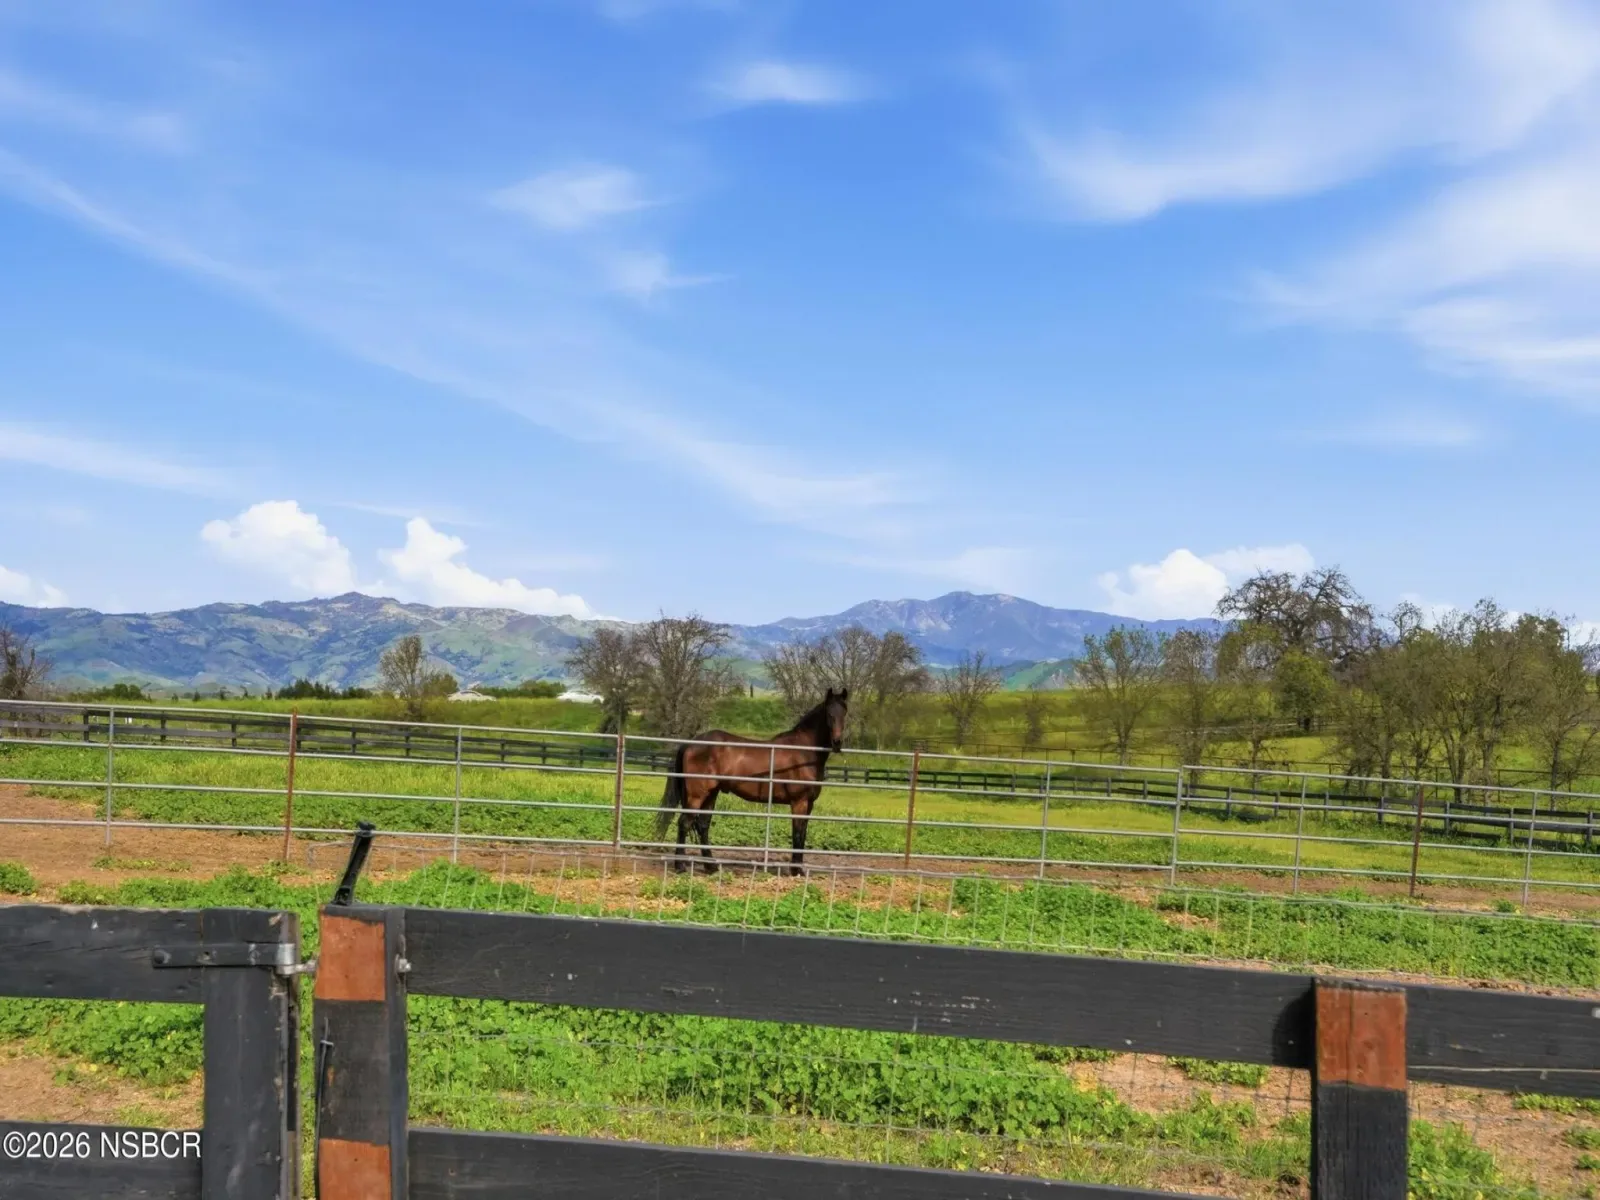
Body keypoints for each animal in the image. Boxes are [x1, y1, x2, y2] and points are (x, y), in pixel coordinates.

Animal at [653, 688, 848, 875]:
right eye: (829, 714)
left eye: (844, 713)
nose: (837, 742)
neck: (803, 752)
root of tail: (690, 743)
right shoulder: (799, 802)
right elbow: (798, 834)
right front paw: (796, 870)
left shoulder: (809, 804)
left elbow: (803, 834)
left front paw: (798, 869)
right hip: (697, 795)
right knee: (684, 823)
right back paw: (680, 866)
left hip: (711, 794)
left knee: (702, 825)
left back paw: (711, 867)